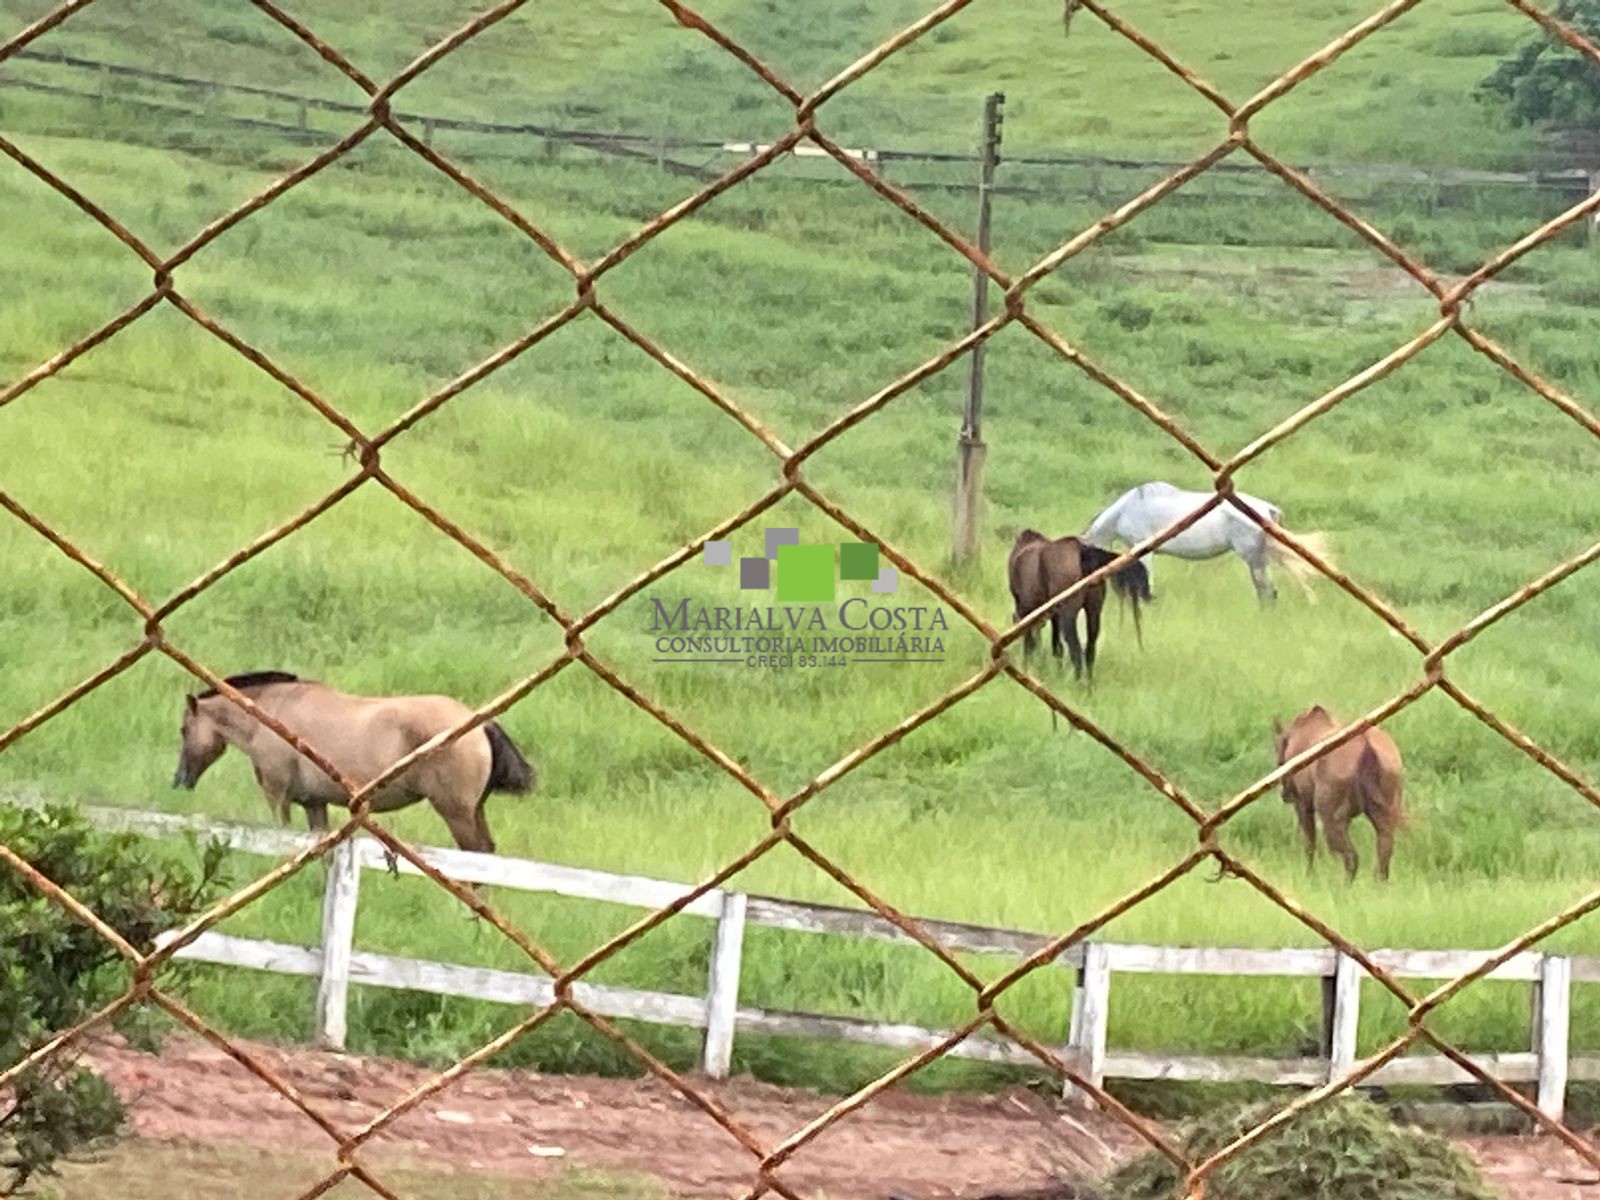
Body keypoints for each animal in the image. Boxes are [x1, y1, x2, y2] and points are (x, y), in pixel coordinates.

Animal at [1011, 531, 1152, 681]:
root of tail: (1082, 551)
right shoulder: (1052, 615)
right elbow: (1056, 645)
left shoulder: (1026, 610)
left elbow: (1030, 642)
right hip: (1093, 611)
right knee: (1090, 650)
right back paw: (1089, 684)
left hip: (1069, 615)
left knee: (1076, 651)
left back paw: (1077, 683)